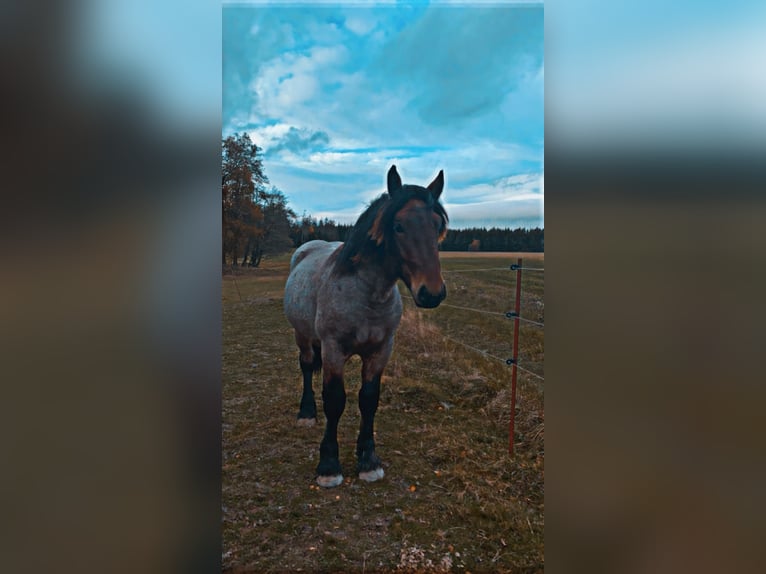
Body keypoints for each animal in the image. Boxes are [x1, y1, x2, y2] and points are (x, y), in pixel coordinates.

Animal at [284, 166, 448, 490]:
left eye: (437, 227)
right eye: (398, 226)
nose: (432, 293)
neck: (366, 295)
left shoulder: (381, 350)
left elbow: (368, 399)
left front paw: (368, 460)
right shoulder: (333, 350)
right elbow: (335, 401)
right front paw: (329, 466)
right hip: (303, 336)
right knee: (307, 366)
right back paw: (307, 413)